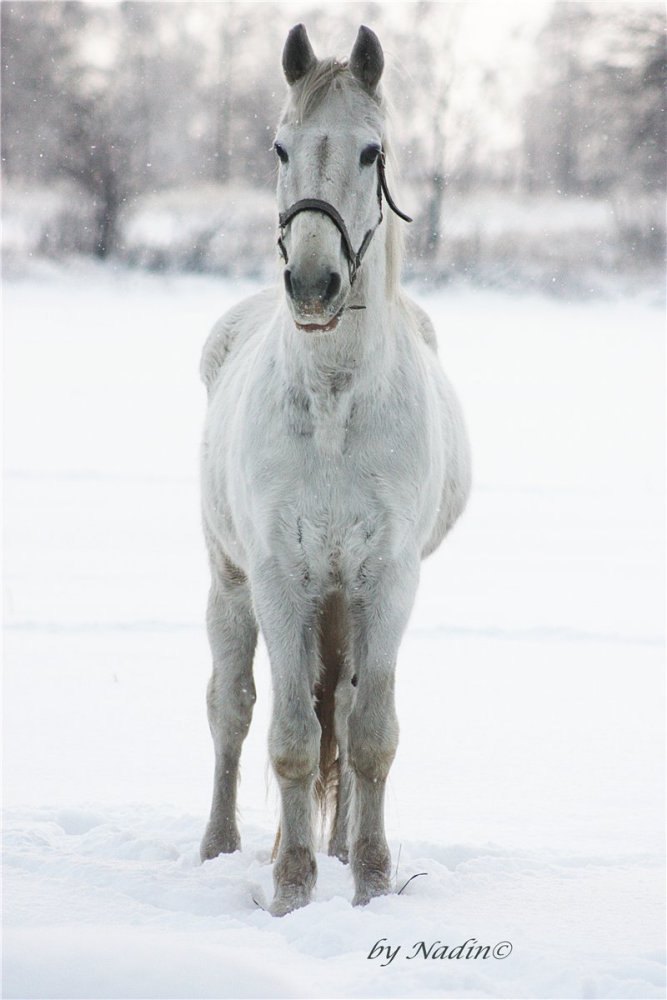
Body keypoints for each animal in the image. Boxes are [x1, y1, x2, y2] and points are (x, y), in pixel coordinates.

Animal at [198, 23, 470, 916]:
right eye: (280, 147)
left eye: (370, 152)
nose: (313, 284)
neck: (334, 406)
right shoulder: (280, 579)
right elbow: (287, 736)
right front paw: (289, 889)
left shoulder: (385, 580)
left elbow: (370, 735)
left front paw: (372, 883)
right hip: (231, 587)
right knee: (233, 711)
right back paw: (220, 848)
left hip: (344, 601)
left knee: (343, 717)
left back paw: (345, 847)